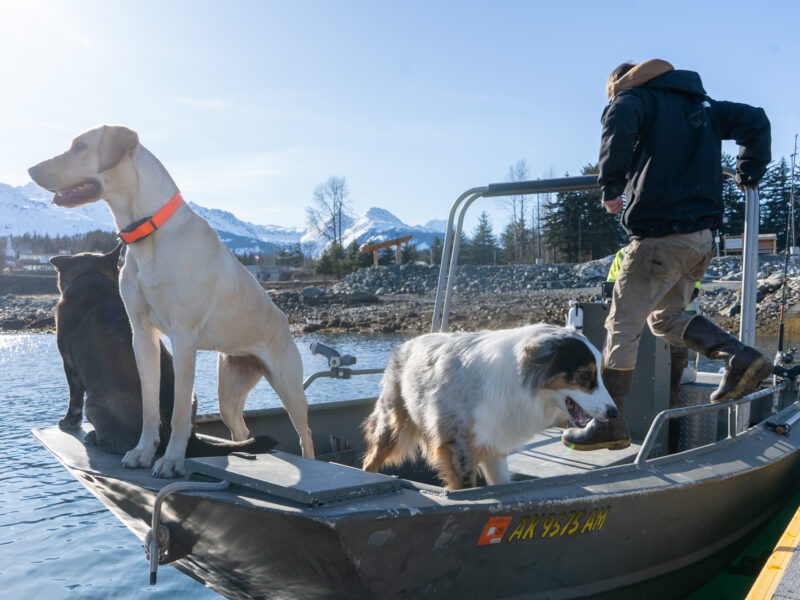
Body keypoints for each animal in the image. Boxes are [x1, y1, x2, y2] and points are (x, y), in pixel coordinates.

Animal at [50, 244, 276, 454]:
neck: (91, 277)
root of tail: (192, 441)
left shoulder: (68, 362)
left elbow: (74, 397)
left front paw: (68, 422)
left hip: (95, 403)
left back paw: (94, 438)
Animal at [362, 326, 620, 490]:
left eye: (601, 374)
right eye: (584, 375)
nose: (614, 413)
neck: (519, 382)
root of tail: (406, 343)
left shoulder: (494, 441)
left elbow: (501, 485)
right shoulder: (459, 447)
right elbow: (466, 492)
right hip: (392, 425)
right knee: (369, 463)